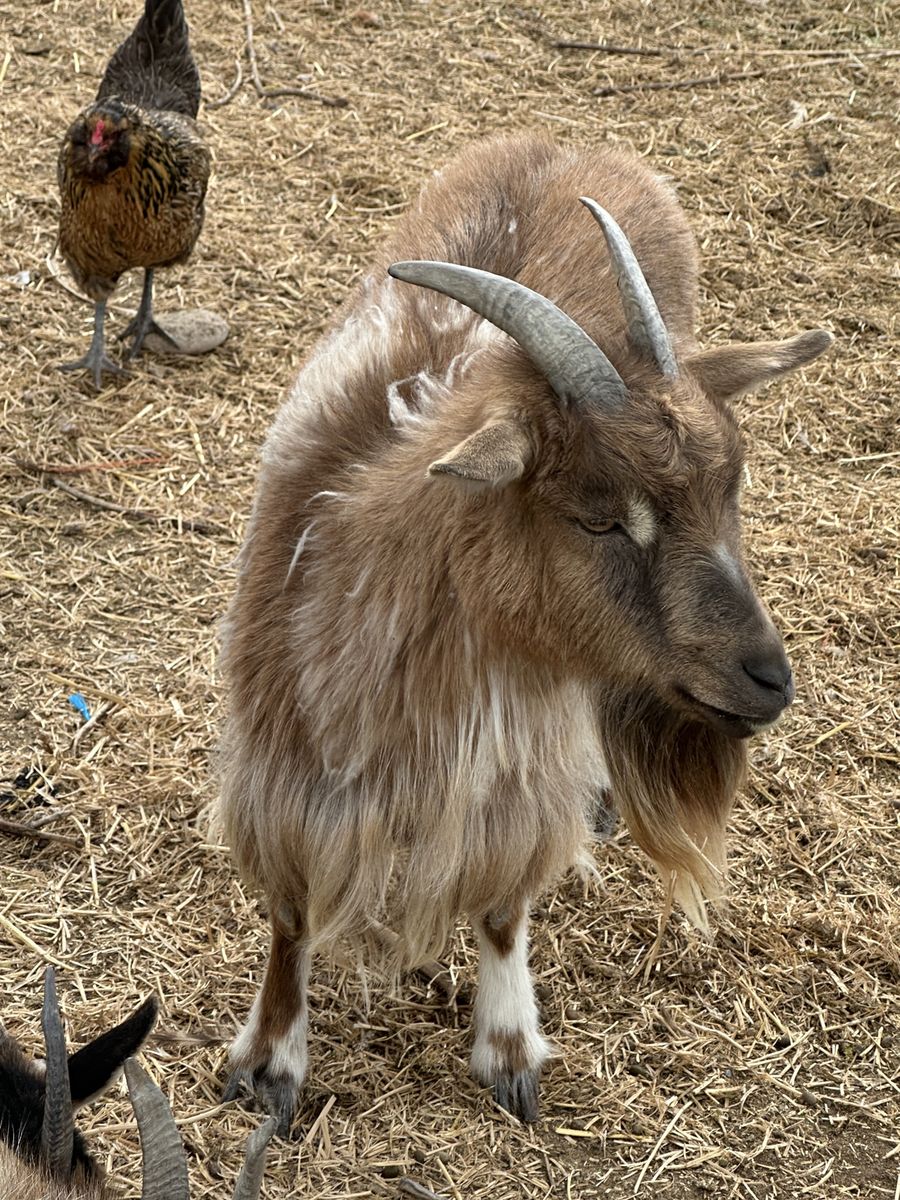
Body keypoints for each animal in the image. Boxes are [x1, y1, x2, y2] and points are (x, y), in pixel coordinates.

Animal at [218, 133, 833, 1130]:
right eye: (597, 519)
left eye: (730, 491)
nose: (768, 679)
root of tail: (567, 145)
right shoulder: (286, 758)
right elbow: (292, 909)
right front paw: (269, 1060)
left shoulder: (520, 758)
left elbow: (504, 901)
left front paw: (507, 1049)